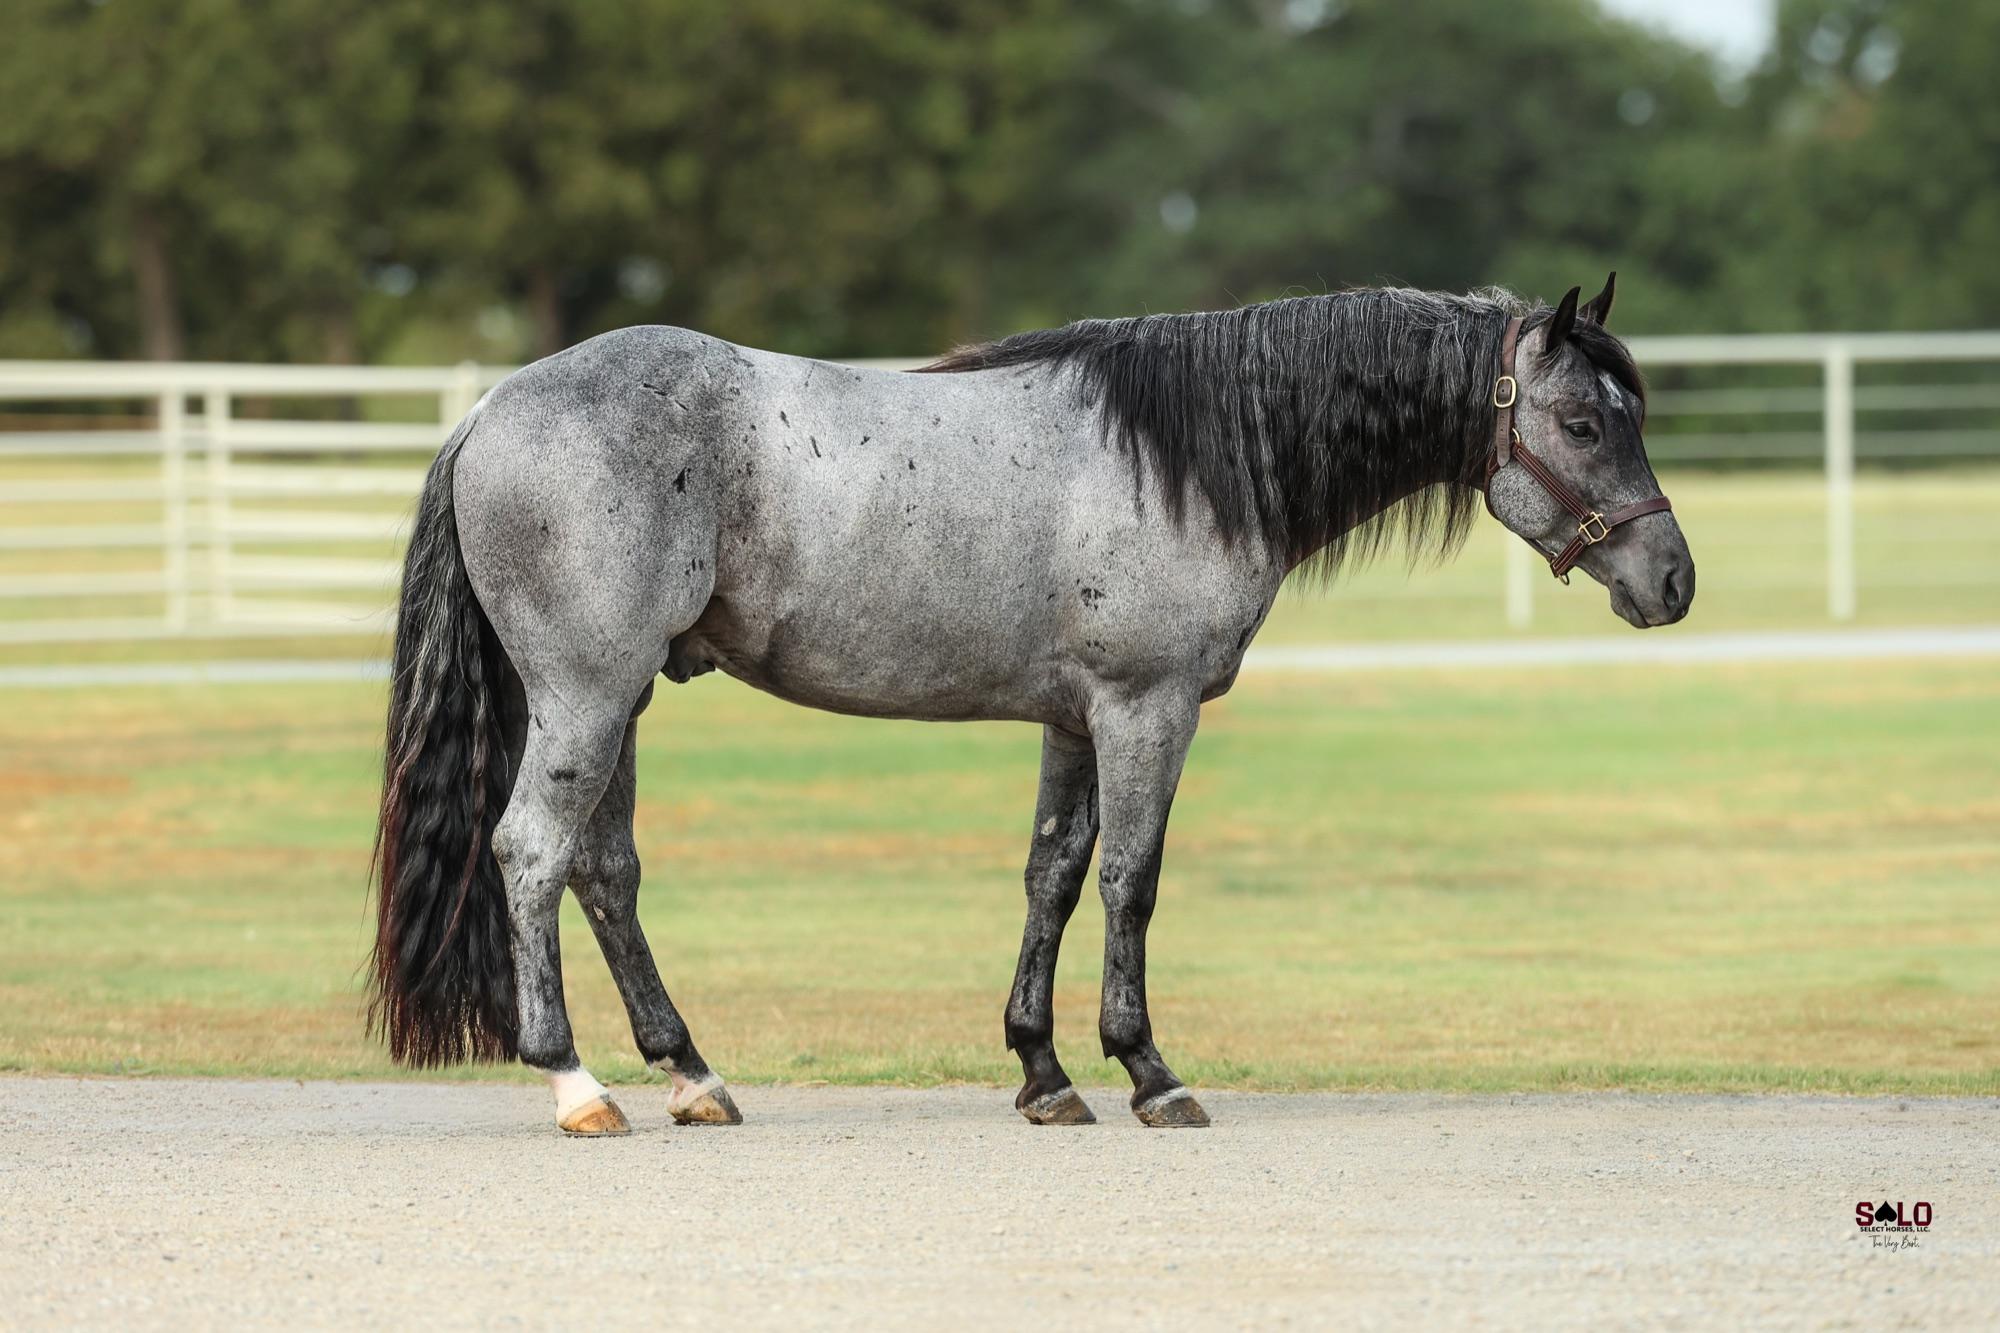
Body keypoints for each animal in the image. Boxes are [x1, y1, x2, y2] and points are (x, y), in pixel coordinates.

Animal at [369, 276, 1692, 1134]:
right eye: (1582, 419)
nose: (1672, 580)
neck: (1189, 455)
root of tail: (488, 411)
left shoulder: (1072, 719)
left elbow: (1051, 875)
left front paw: (1042, 1072)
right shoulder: (1146, 709)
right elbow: (1129, 881)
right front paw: (1147, 1070)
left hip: (618, 699)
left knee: (604, 872)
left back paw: (691, 1073)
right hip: (585, 695)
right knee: (532, 853)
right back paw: (577, 1084)